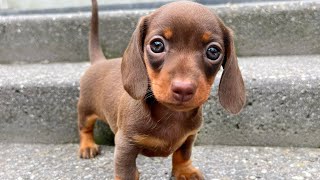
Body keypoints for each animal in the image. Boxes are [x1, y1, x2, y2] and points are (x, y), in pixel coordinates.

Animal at [77, 0, 245, 179]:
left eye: (213, 51)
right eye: (157, 45)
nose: (183, 89)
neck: (172, 114)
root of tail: (99, 62)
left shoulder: (189, 136)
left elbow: (183, 154)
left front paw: (184, 170)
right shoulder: (125, 144)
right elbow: (125, 171)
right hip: (85, 109)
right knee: (85, 128)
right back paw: (87, 146)